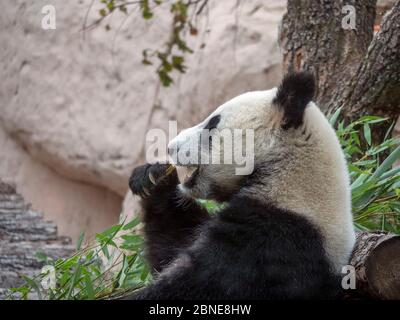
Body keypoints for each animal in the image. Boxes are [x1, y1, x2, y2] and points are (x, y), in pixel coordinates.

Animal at [126, 71, 354, 298]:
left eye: (212, 124)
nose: (171, 147)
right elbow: (173, 244)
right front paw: (152, 178)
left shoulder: (269, 241)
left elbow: (196, 283)